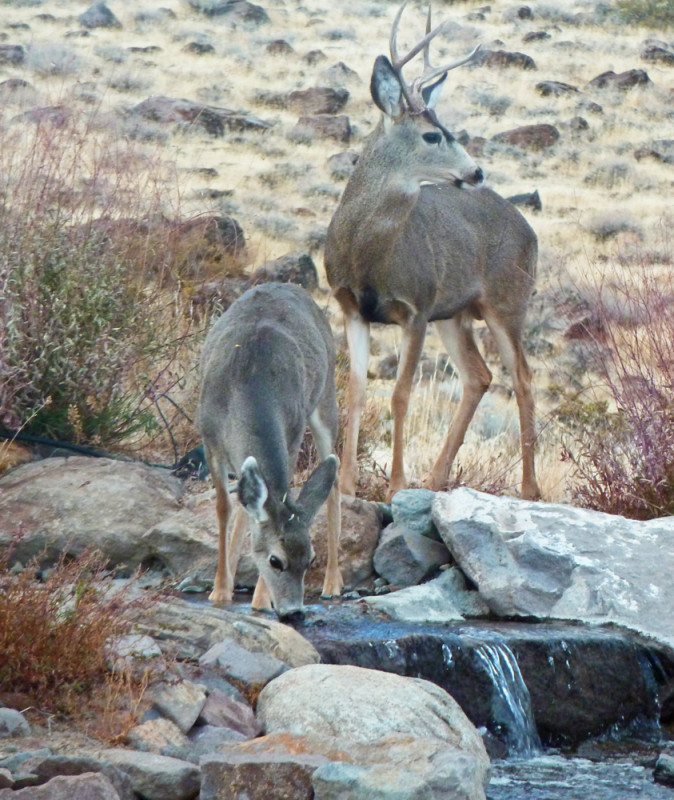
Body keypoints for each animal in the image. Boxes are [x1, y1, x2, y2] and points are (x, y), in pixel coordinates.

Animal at [196, 282, 342, 620]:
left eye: (310, 559)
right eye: (276, 560)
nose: (294, 612)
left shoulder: (292, 433)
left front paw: (260, 600)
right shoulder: (209, 439)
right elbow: (224, 508)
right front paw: (219, 590)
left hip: (326, 399)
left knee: (334, 485)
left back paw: (333, 583)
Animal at [322, 0, 540, 500]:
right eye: (432, 135)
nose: (476, 171)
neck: (368, 256)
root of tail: (530, 230)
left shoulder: (416, 307)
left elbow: (401, 393)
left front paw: (397, 484)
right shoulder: (352, 307)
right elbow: (356, 390)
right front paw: (345, 482)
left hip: (507, 301)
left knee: (522, 379)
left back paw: (528, 489)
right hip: (455, 314)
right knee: (479, 375)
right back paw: (437, 477)